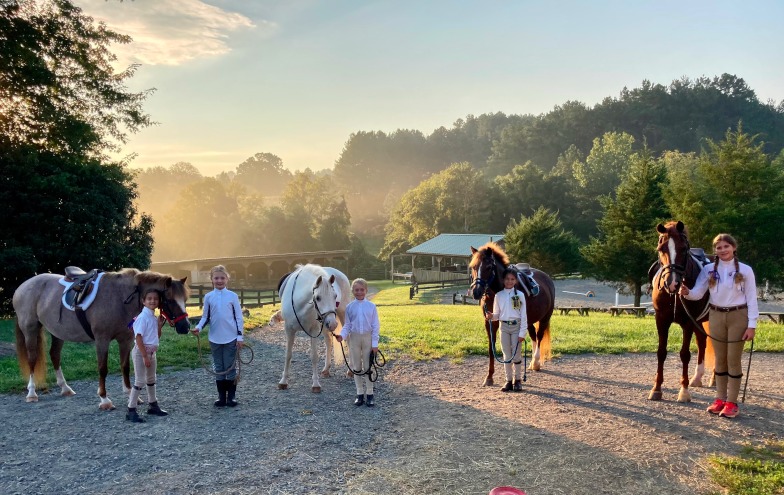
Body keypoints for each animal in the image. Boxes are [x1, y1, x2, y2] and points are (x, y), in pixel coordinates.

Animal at [13, 270, 191, 408]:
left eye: (185, 300)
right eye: (169, 300)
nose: (185, 327)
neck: (120, 297)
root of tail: (22, 286)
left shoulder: (125, 340)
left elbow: (125, 366)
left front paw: (131, 394)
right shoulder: (102, 340)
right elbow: (102, 368)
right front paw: (105, 400)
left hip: (58, 333)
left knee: (55, 355)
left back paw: (65, 388)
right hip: (30, 329)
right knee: (32, 358)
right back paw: (31, 393)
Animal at [278, 266, 340, 394]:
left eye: (335, 296)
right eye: (318, 298)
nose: (332, 323)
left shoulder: (314, 331)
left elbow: (314, 356)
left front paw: (315, 384)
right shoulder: (289, 330)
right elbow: (288, 355)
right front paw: (283, 381)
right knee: (328, 341)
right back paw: (326, 369)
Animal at [468, 244, 556, 388]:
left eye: (489, 267)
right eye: (473, 267)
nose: (476, 292)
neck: (499, 292)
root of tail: (547, 278)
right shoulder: (490, 322)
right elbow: (491, 348)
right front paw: (489, 377)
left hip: (545, 318)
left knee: (539, 337)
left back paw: (536, 363)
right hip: (529, 321)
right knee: (533, 336)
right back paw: (532, 363)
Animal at [648, 221, 712, 404]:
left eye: (683, 249)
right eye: (661, 248)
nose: (672, 283)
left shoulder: (688, 322)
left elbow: (684, 354)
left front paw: (684, 391)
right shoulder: (661, 319)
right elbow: (661, 352)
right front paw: (656, 388)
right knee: (702, 341)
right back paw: (697, 378)